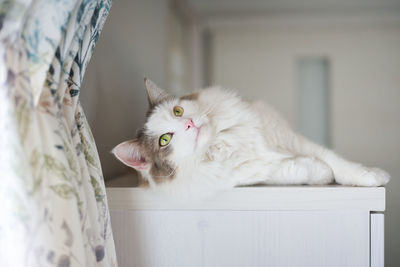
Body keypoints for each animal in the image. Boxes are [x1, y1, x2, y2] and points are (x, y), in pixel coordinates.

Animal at [111, 78, 390, 196]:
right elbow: (292, 171)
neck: (220, 141)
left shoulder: (289, 138)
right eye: (164, 140)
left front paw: (371, 176)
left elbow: (336, 161)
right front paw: (321, 174)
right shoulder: (250, 174)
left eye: (177, 111)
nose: (189, 124)